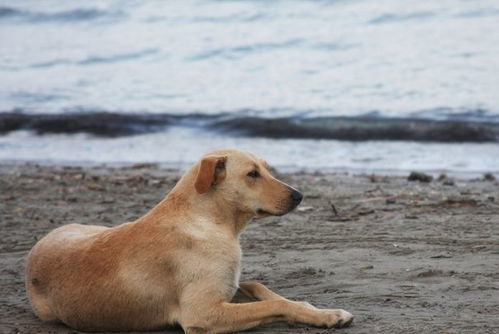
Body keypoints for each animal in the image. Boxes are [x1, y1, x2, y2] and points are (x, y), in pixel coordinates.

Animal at [26, 149, 356, 334]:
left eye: (265, 168)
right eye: (252, 174)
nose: (299, 195)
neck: (208, 219)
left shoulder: (227, 288)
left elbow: (263, 290)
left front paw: (322, 313)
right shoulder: (203, 313)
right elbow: (272, 306)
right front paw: (326, 315)